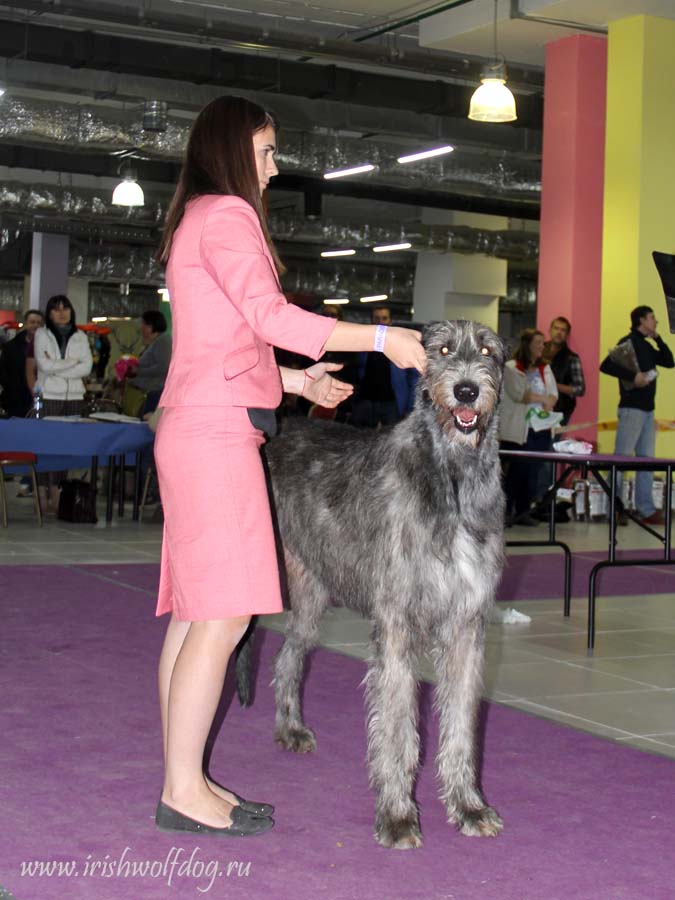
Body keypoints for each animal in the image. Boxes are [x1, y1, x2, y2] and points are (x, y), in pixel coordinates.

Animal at [238, 322, 508, 852]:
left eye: (488, 350)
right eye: (443, 349)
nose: (467, 390)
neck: (452, 477)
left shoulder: (467, 623)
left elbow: (462, 722)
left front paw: (468, 806)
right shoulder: (397, 624)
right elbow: (398, 725)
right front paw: (398, 816)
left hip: (310, 593)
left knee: (289, 654)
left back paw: (291, 727)